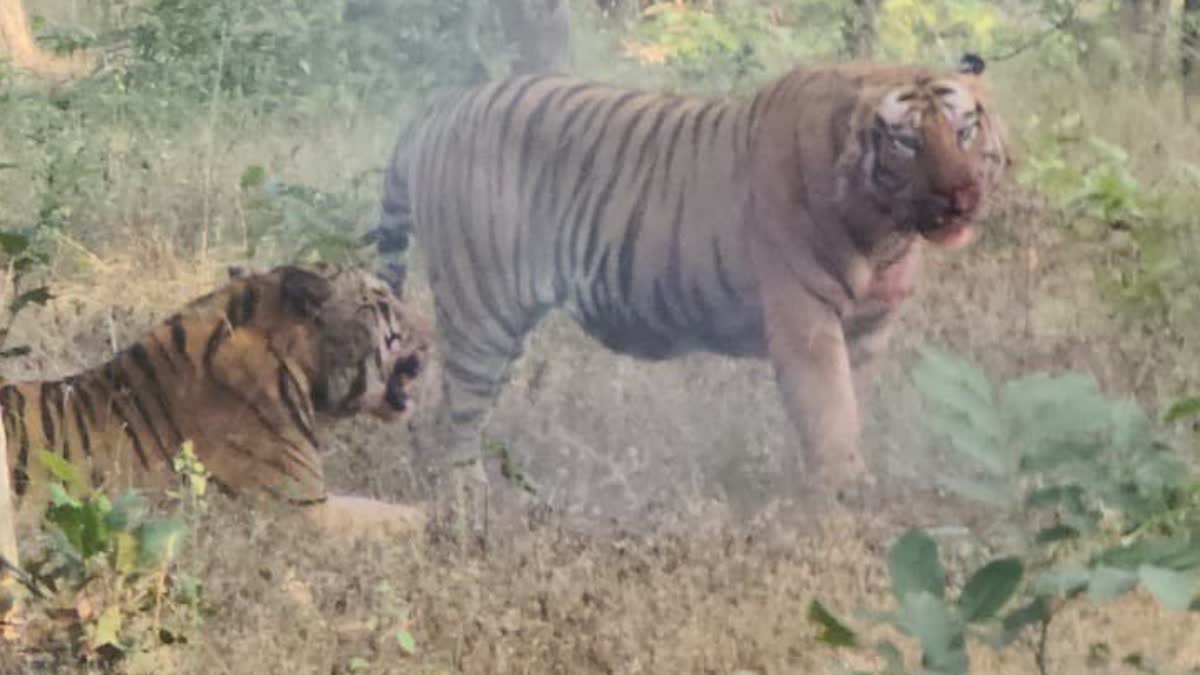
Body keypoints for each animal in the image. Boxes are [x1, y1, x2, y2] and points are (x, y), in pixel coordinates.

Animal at [364, 53, 1011, 532]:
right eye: (906, 143)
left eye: (964, 130)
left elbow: (852, 406)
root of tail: (441, 107)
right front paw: (841, 503)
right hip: (482, 310)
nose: (961, 197)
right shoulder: (806, 322)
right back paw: (467, 506)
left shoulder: (869, 329)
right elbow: (830, 413)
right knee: (452, 417)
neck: (884, 234)